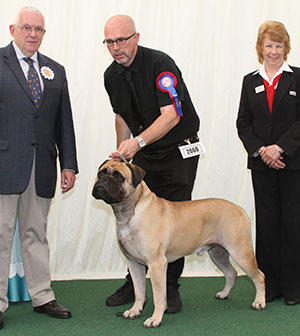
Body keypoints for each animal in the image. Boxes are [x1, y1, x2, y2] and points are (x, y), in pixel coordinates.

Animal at [92, 160, 266, 328]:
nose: (104, 179)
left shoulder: (157, 265)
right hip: (218, 253)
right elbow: (139, 291)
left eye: (118, 176)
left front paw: (155, 319)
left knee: (259, 276)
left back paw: (259, 302)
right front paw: (135, 310)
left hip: (241, 252)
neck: (130, 211)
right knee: (231, 273)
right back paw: (224, 294)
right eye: (101, 173)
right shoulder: (134, 264)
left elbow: (158, 295)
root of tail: (239, 208)